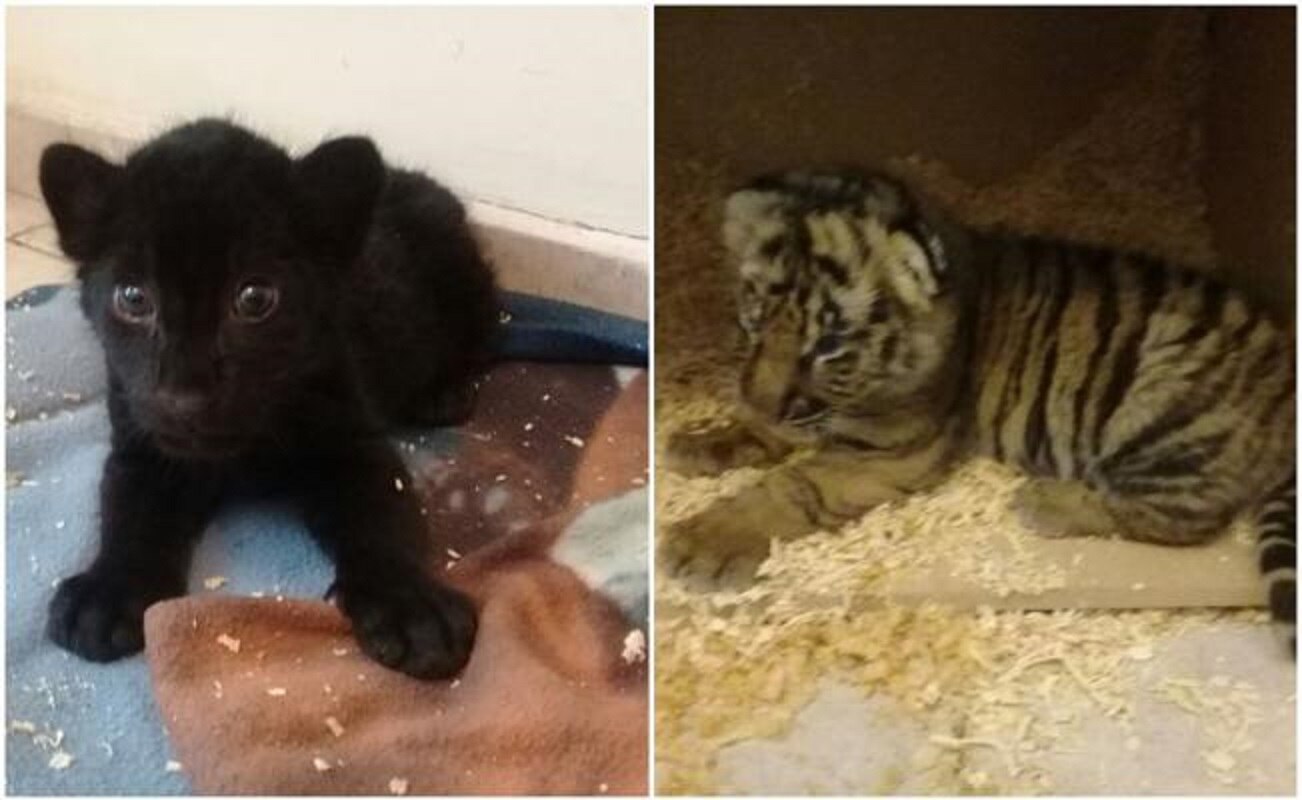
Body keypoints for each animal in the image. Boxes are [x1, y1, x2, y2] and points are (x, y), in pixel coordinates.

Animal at [662, 169, 1296, 650]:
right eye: (754, 318)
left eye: (828, 344)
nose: (761, 400)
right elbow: (770, 433)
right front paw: (700, 440)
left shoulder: (891, 450)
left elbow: (791, 485)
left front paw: (702, 541)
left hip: (1163, 415)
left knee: (1184, 521)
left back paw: (1047, 501)